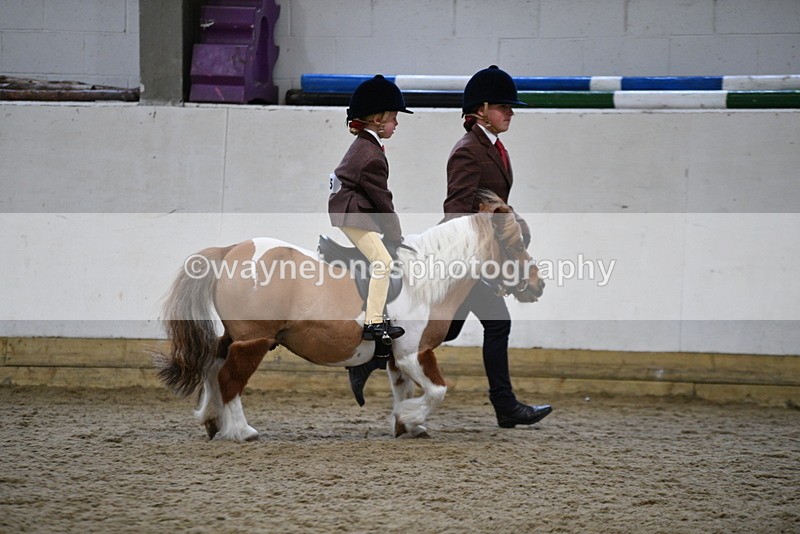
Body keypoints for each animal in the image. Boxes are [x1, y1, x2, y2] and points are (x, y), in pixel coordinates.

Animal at [154, 190, 545, 441]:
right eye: (516, 246)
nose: (537, 285)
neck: (426, 278)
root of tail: (231, 250)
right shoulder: (414, 353)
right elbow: (437, 391)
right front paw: (409, 417)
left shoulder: (396, 358)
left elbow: (402, 389)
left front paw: (408, 426)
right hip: (254, 341)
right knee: (229, 379)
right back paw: (240, 431)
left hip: (237, 337)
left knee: (212, 366)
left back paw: (211, 420)